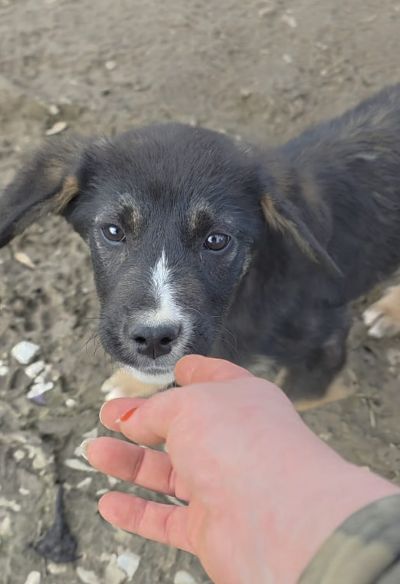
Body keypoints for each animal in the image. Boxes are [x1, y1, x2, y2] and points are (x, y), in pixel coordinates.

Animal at [1, 84, 400, 405]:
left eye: (217, 240)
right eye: (113, 231)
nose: (153, 337)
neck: (245, 290)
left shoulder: (324, 358)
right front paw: (134, 382)